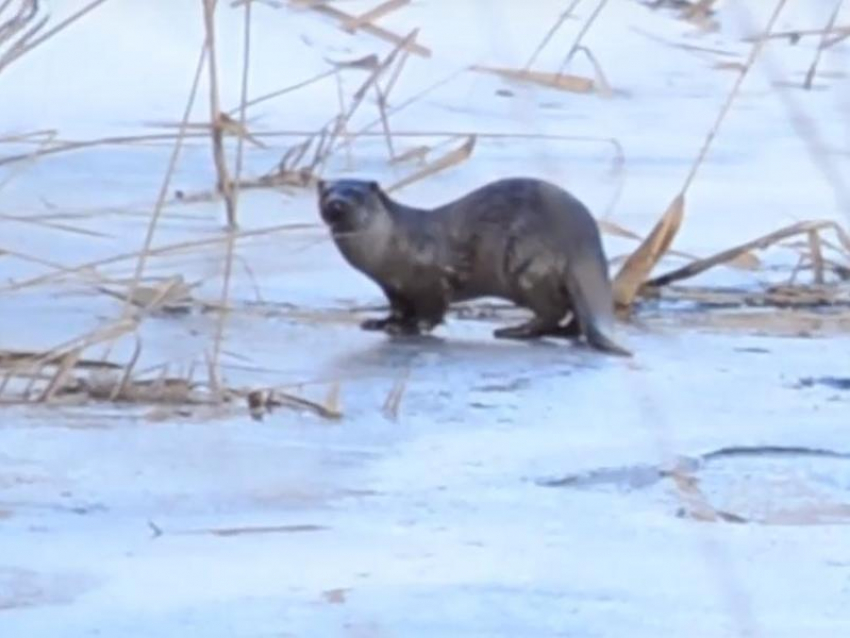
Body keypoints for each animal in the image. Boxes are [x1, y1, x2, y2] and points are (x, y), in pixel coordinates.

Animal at [318, 178, 628, 358]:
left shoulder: (432, 281)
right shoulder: (393, 288)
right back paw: (559, 333)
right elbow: (398, 309)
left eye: (356, 195)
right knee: (574, 312)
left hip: (527, 268)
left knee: (552, 310)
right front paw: (381, 323)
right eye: (327, 192)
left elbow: (431, 311)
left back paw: (513, 331)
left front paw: (411, 327)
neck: (393, 245)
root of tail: (581, 238)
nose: (337, 203)